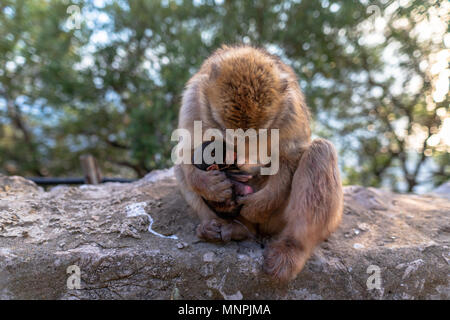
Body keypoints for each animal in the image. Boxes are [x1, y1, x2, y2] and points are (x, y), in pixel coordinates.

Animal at [174, 45, 342, 282]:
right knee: (181, 169)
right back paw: (231, 228)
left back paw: (292, 248)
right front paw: (210, 185)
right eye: (225, 130)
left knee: (321, 151)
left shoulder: (290, 109)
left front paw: (260, 204)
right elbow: (185, 151)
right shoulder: (193, 101)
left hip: (278, 222)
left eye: (255, 135)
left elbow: (289, 157)